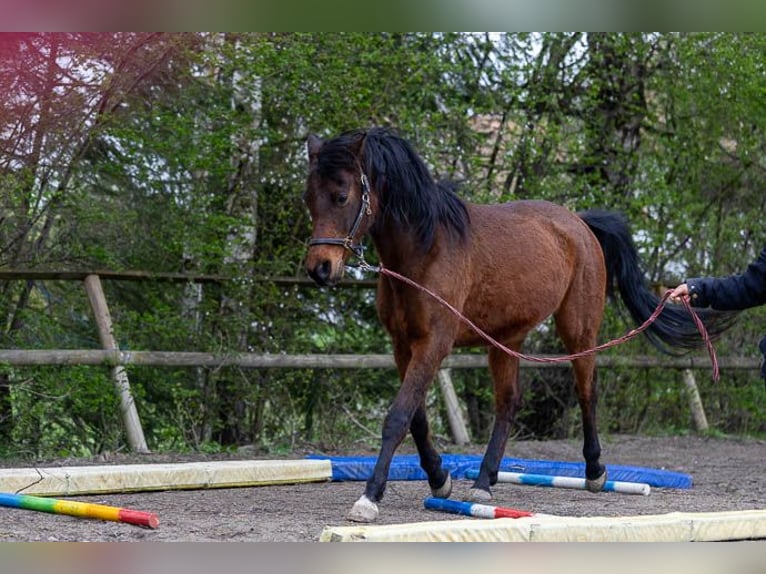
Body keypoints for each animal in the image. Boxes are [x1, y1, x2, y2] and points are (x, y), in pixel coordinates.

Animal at [302, 127, 736, 523]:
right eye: (309, 198)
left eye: (341, 196)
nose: (320, 269)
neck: (425, 249)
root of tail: (579, 223)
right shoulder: (402, 345)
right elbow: (417, 419)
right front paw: (440, 479)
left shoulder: (433, 343)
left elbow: (398, 417)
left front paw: (369, 497)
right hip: (505, 338)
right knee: (508, 403)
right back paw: (483, 481)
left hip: (578, 331)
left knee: (586, 393)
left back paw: (595, 472)